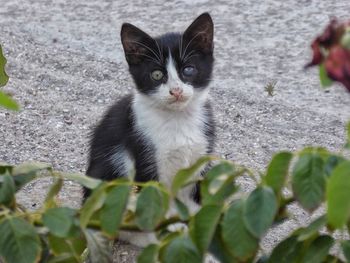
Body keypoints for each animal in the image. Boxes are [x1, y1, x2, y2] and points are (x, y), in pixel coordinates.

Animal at [85, 12, 216, 248]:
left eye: (188, 70)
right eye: (156, 75)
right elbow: (154, 198)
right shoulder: (142, 151)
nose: (176, 91)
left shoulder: (202, 153)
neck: (177, 120)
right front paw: (169, 227)